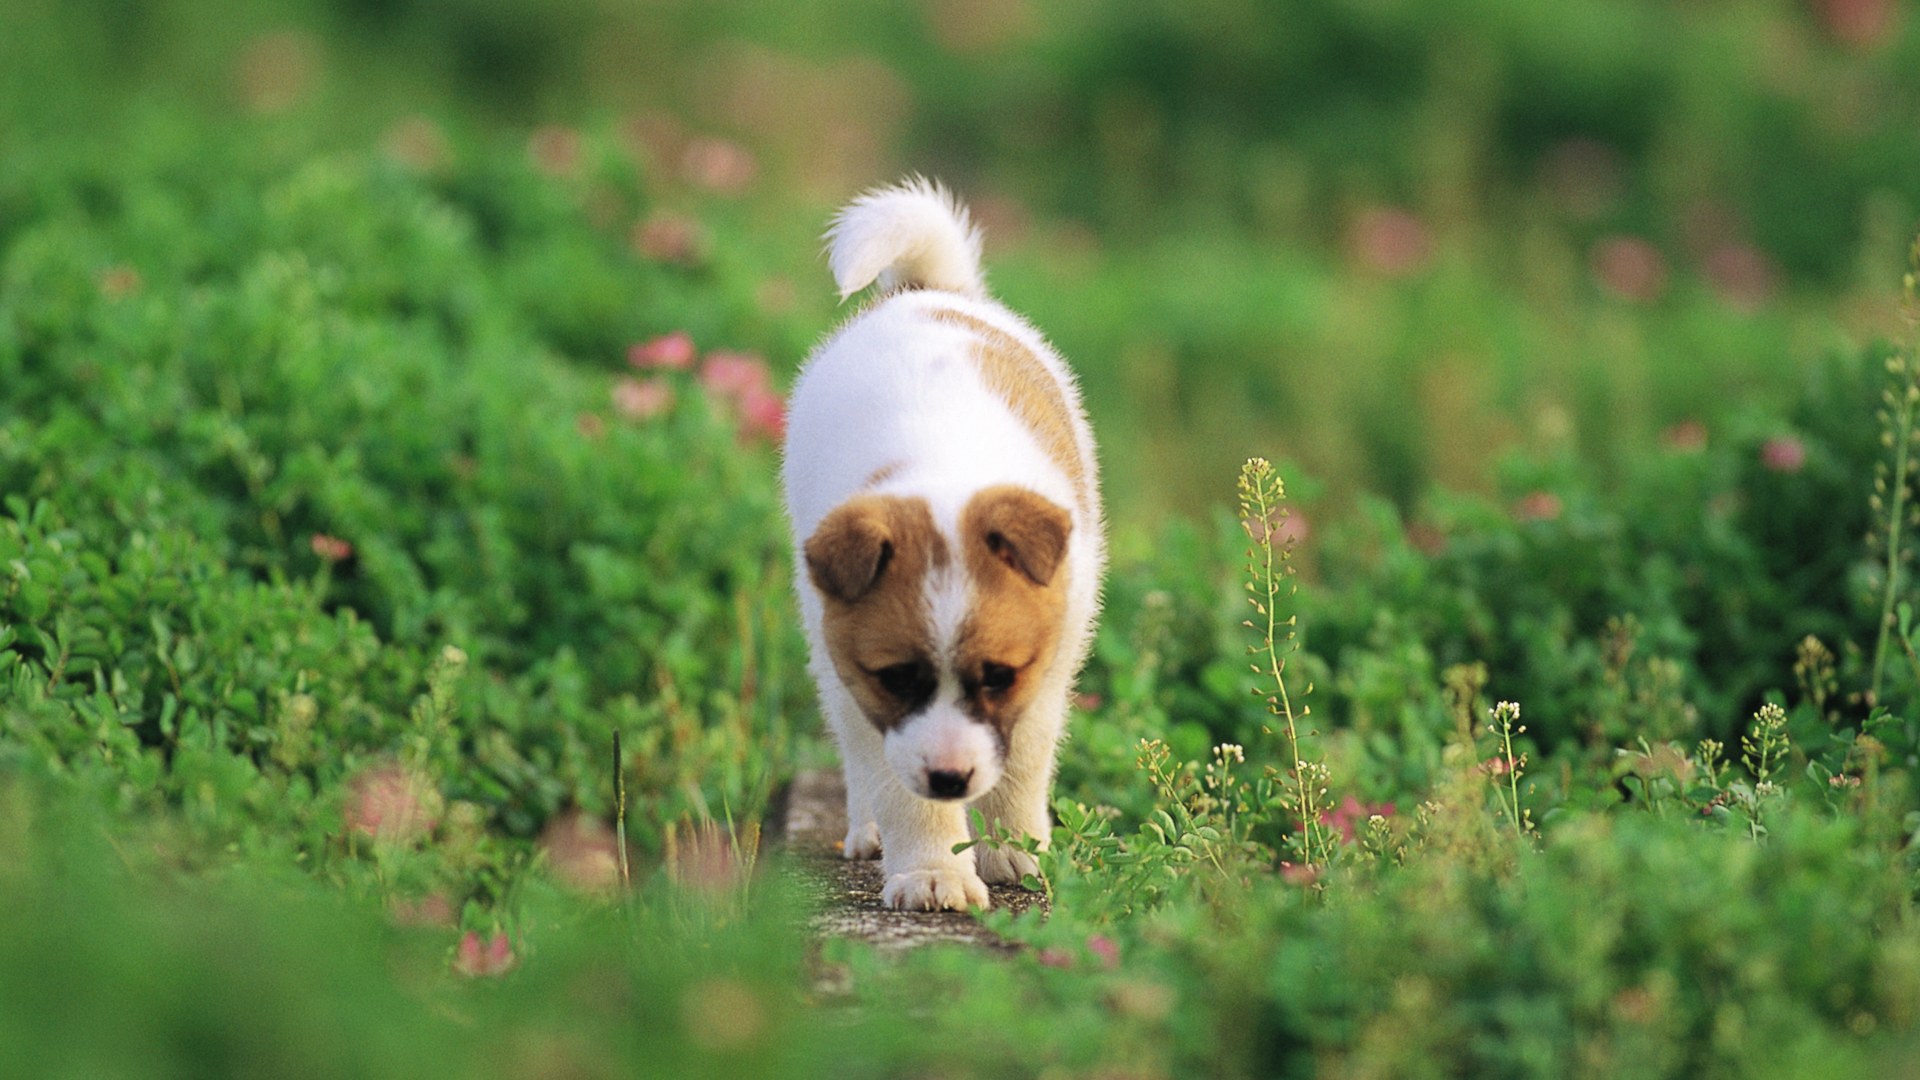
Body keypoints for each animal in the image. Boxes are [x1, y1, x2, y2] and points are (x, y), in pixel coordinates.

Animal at [783, 176, 1113, 907]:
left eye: (997, 676)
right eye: (898, 677)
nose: (950, 779)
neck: (941, 473)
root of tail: (927, 290)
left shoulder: (1046, 666)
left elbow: (1022, 763)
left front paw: (1013, 850)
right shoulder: (866, 690)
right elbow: (899, 786)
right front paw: (932, 870)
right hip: (825, 651)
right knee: (856, 755)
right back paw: (867, 832)